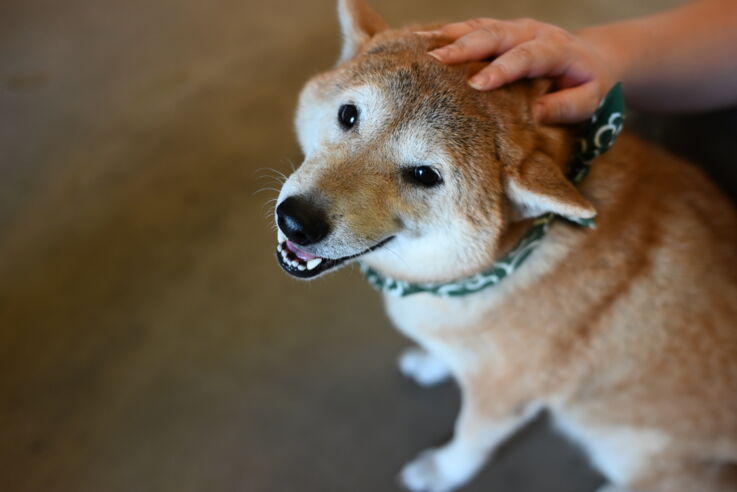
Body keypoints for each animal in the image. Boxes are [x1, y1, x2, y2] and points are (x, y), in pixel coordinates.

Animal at [274, 1, 736, 490]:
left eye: (424, 175)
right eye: (348, 115)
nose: (296, 220)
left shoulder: (505, 397)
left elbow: (470, 439)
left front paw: (442, 470)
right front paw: (434, 361)